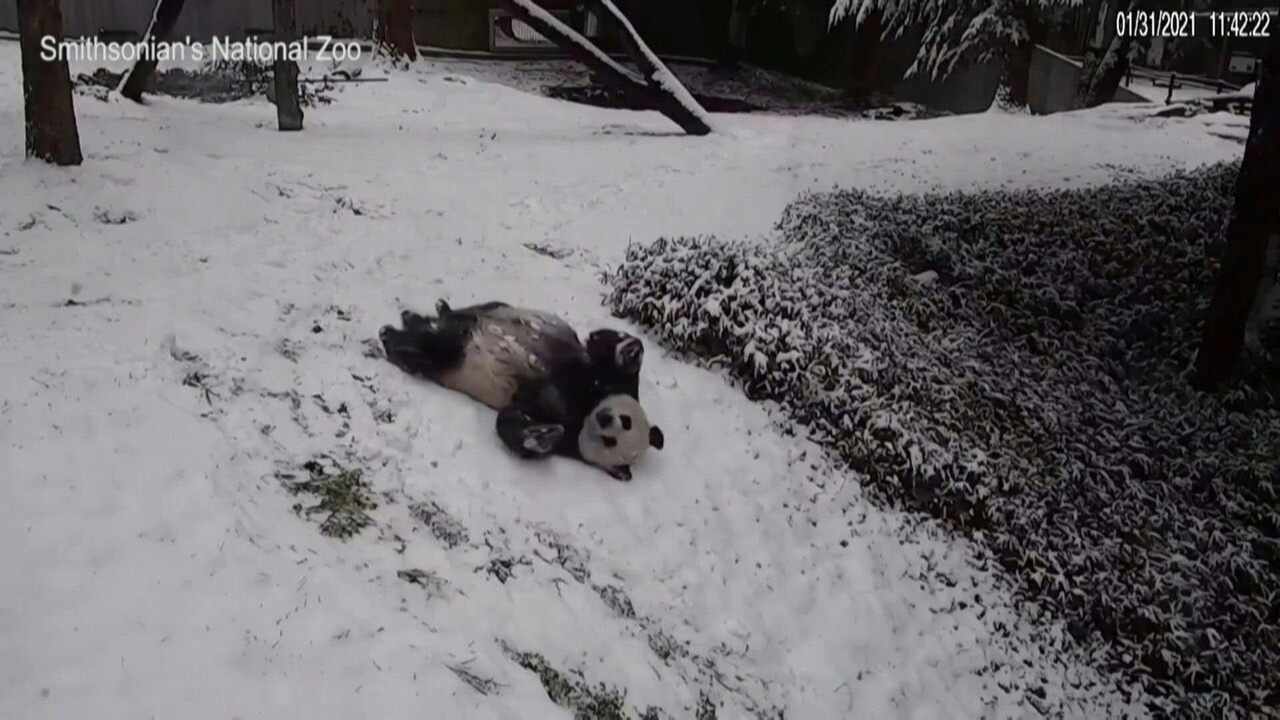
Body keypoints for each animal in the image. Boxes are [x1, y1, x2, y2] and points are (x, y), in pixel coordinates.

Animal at [376, 299, 660, 479]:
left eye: (611, 441)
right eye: (626, 421)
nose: (604, 419)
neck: (584, 410)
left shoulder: (568, 438)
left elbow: (514, 425)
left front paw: (541, 436)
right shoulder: (604, 378)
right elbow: (605, 350)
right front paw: (630, 351)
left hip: (451, 356)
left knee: (433, 347)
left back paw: (399, 341)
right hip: (493, 313)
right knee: (473, 311)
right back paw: (427, 314)